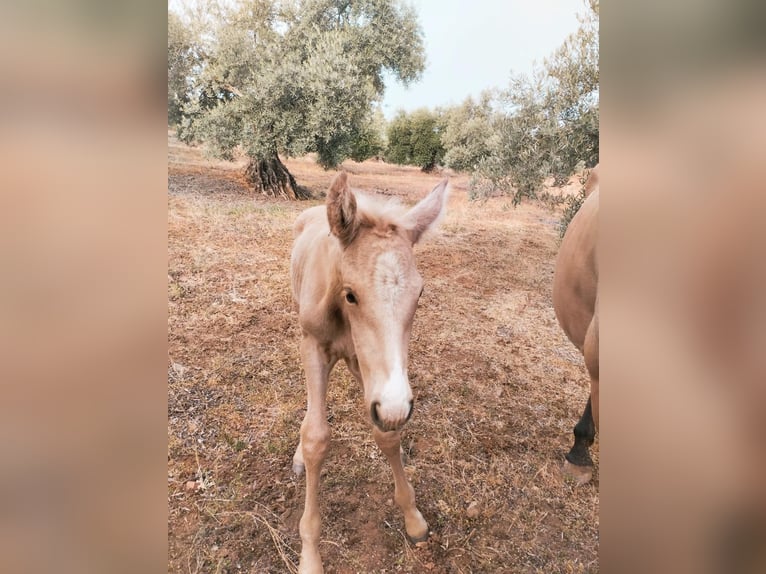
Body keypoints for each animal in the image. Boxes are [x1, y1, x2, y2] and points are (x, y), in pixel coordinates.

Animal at [289, 172, 449, 573]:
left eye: (420, 293)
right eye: (351, 294)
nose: (395, 406)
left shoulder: (370, 369)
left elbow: (388, 435)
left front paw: (413, 519)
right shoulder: (313, 347)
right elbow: (315, 437)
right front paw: (310, 555)